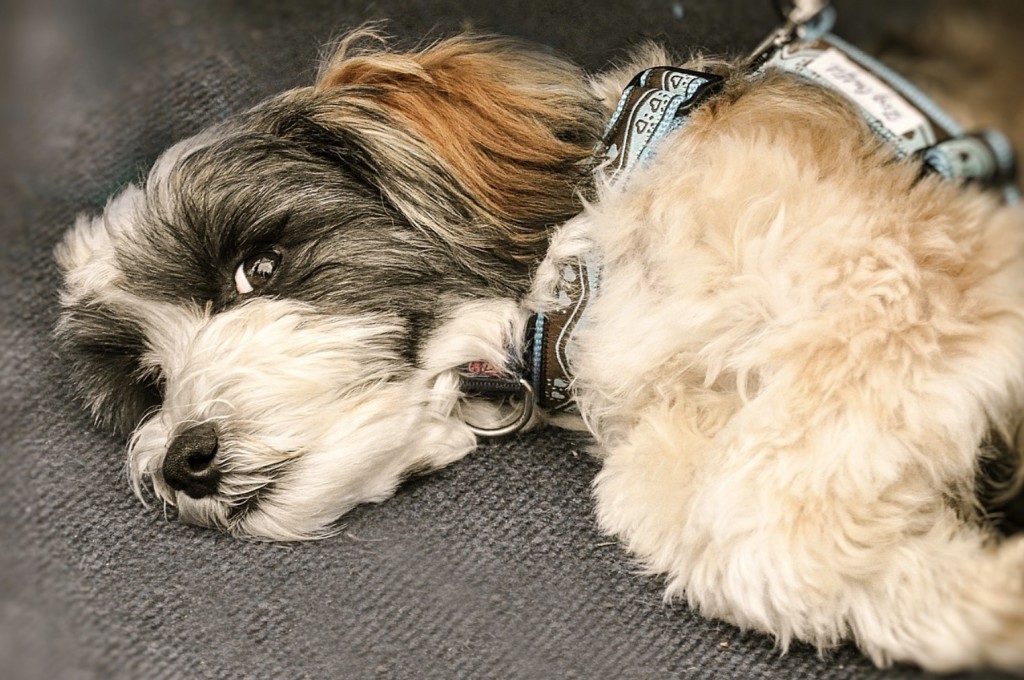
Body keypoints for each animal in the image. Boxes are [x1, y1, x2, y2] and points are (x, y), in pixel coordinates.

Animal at [58, 0, 1024, 671]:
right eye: (149, 383)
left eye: (258, 267)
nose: (183, 459)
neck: (583, 283)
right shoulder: (681, 453)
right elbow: (749, 546)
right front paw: (988, 594)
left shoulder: (909, 277)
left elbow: (760, 515)